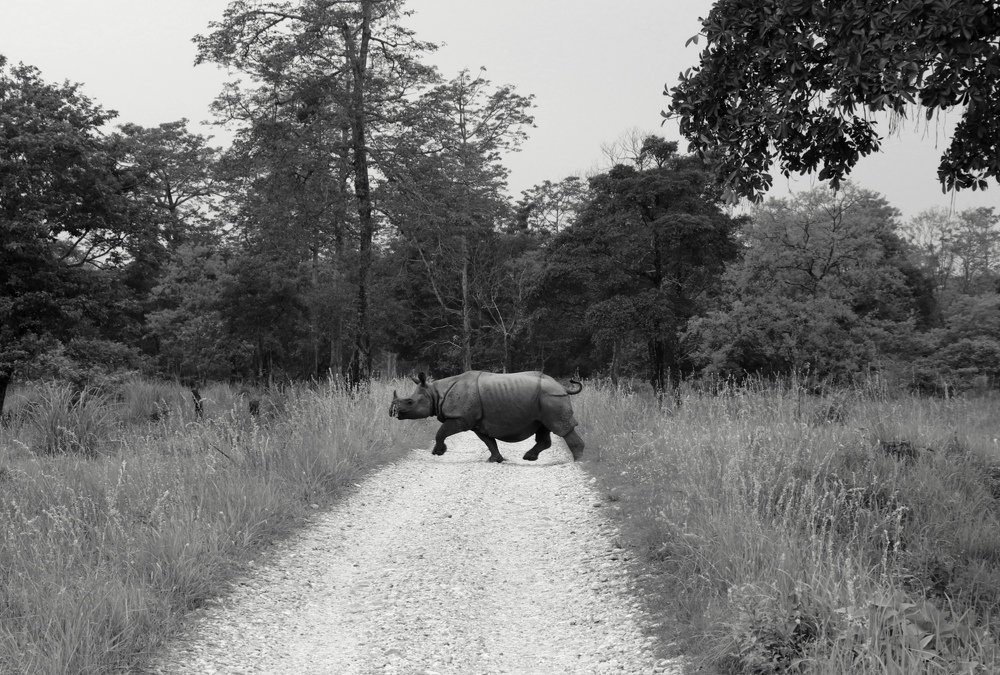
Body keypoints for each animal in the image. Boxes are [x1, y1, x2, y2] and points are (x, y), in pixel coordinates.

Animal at [389, 370, 585, 463]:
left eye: (409, 402)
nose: (392, 412)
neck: (435, 393)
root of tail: (562, 386)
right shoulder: (477, 422)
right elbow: (489, 441)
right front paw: (495, 460)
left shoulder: (461, 418)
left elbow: (441, 432)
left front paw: (438, 453)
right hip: (545, 399)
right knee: (543, 428)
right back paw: (529, 457)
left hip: (551, 397)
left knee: (560, 428)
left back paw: (578, 462)